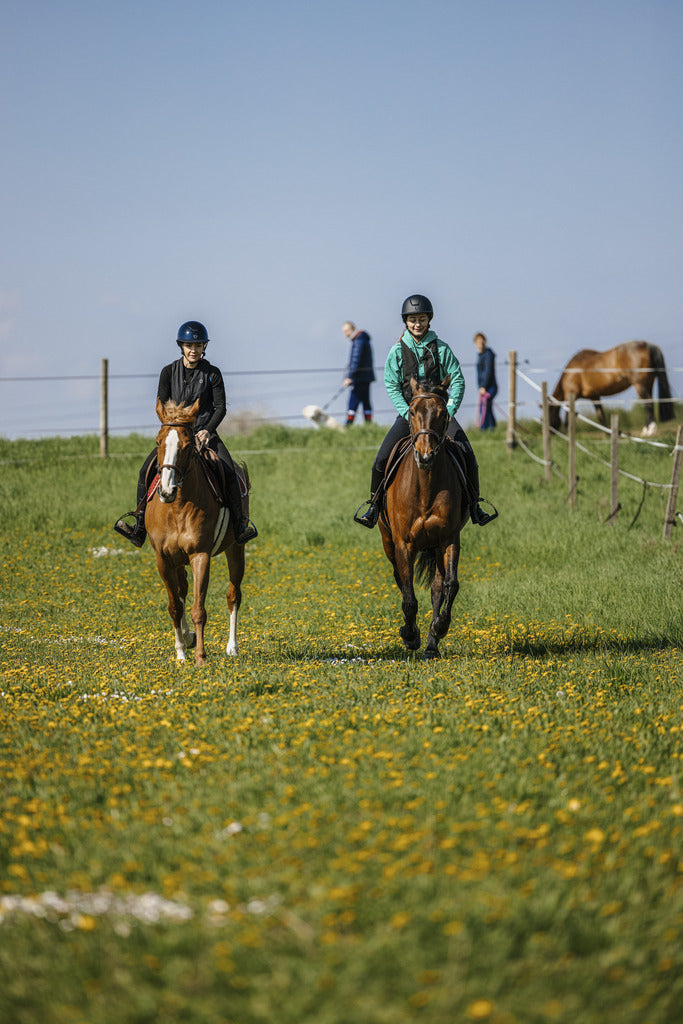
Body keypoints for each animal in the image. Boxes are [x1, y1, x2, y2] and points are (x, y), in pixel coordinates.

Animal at [145, 395, 249, 667]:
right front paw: (181, 652)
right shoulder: (163, 560)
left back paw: (232, 647)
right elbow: (175, 606)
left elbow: (198, 609)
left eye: (188, 444)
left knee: (233, 595)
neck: (177, 507)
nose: (166, 490)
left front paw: (201, 658)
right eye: (158, 442)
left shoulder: (200, 556)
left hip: (236, 549)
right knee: (181, 592)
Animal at [378, 380, 471, 659]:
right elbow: (408, 596)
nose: (425, 456)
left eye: (442, 413)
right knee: (400, 579)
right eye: (411, 411)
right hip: (388, 541)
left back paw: (431, 646)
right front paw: (409, 636)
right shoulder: (403, 544)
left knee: (437, 587)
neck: (425, 488)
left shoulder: (449, 539)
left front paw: (439, 628)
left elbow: (450, 585)